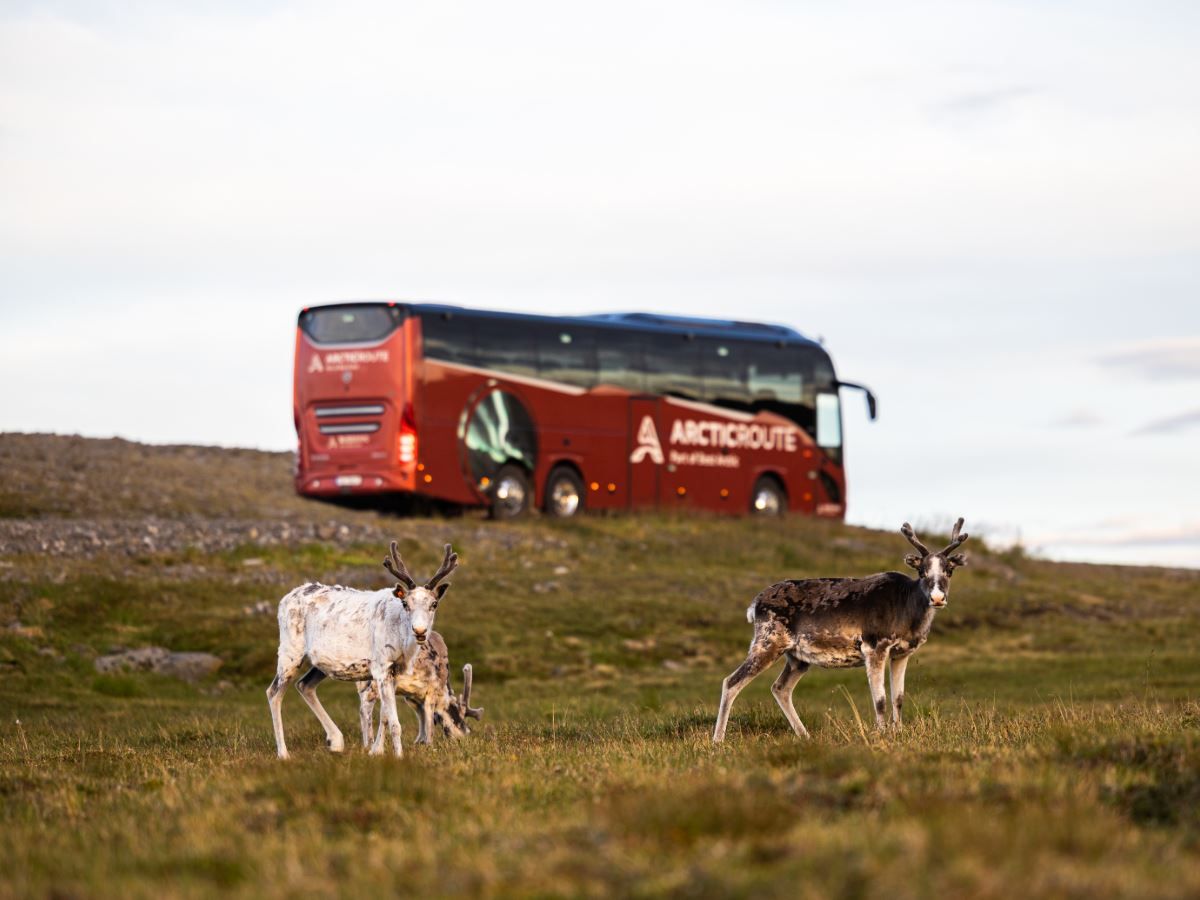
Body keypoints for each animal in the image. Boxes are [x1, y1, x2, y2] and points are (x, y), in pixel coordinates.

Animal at [266, 541, 459, 759]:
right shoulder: (381, 667)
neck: (402, 644)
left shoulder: (395, 672)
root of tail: (284, 599)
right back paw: (283, 753)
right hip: (290, 651)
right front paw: (398, 756)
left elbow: (385, 716)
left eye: (434, 604)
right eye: (405, 603)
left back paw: (336, 740)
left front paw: (376, 750)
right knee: (274, 692)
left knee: (304, 685)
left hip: (319, 663)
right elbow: (395, 723)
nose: (419, 631)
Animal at [712, 518, 969, 743]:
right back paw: (718, 740)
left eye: (949, 570)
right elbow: (880, 700)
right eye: (922, 571)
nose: (937, 598)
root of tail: (754, 605)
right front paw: (882, 734)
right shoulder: (875, 647)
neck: (909, 614)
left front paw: (899, 733)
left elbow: (898, 698)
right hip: (768, 641)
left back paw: (805, 736)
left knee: (780, 688)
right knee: (731, 681)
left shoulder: (902, 653)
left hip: (796, 657)